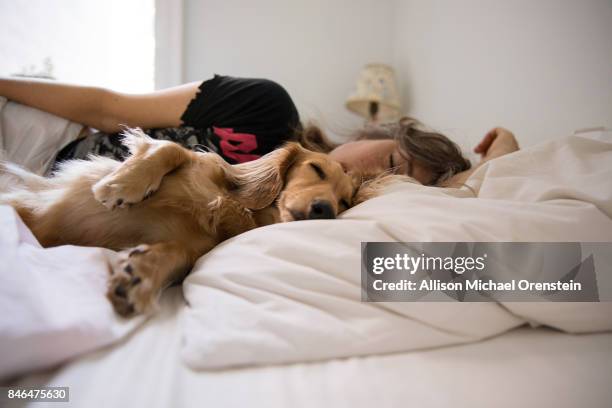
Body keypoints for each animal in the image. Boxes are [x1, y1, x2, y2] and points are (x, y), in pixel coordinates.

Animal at [0, 129, 356, 318]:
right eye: (316, 169)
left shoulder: (193, 247)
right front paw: (121, 186)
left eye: (345, 202)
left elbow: (177, 254)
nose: (326, 209)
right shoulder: (197, 162)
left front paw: (140, 275)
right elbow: (170, 148)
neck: (236, 206)